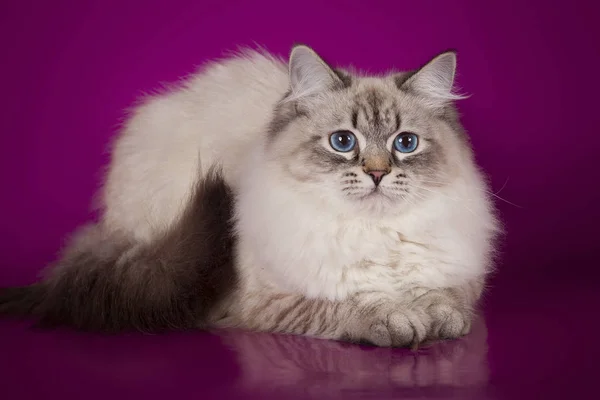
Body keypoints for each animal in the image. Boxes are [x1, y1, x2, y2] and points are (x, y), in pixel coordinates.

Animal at [0, 45, 496, 346]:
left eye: (405, 143)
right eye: (343, 142)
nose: (377, 174)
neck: (373, 235)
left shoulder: (457, 278)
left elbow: (446, 300)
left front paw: (436, 317)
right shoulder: (271, 300)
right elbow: (349, 306)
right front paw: (397, 319)